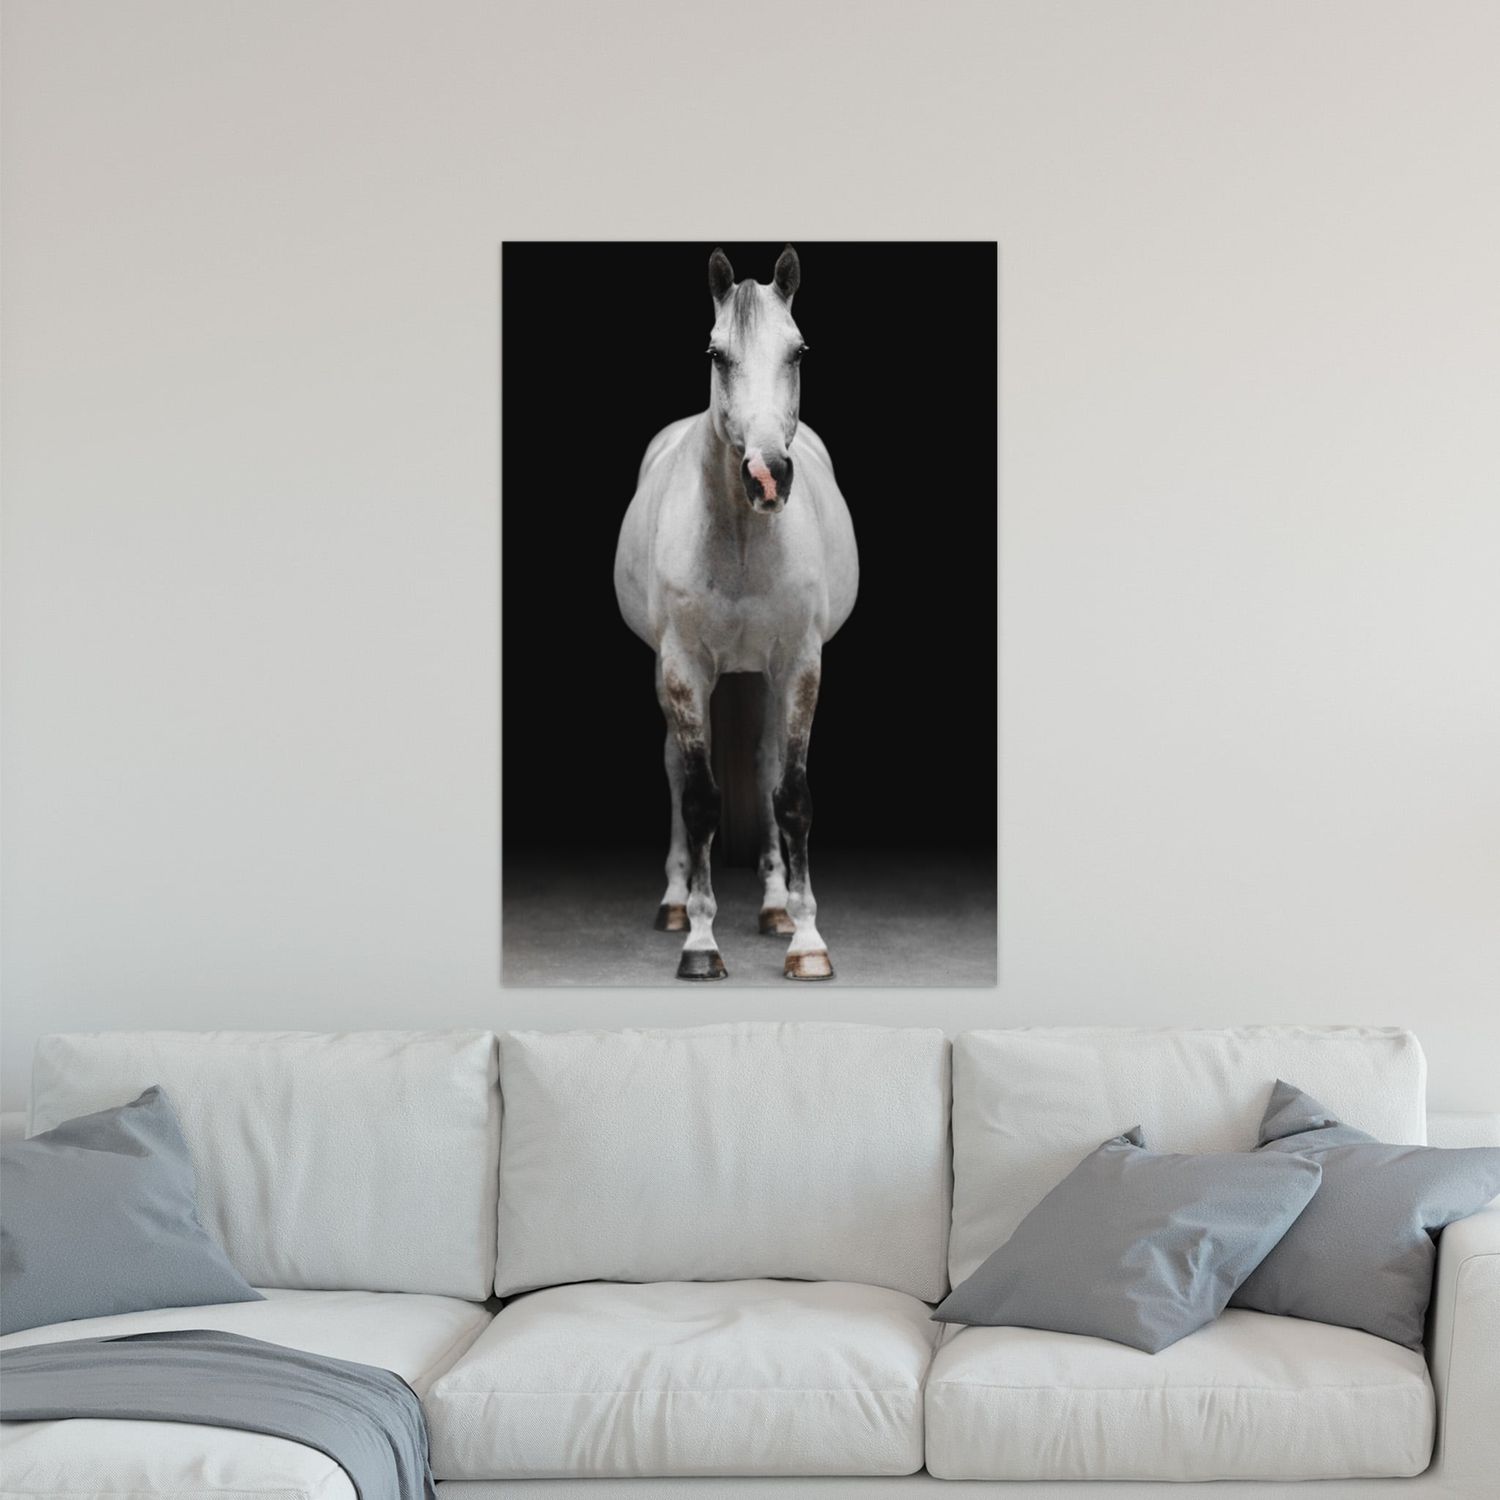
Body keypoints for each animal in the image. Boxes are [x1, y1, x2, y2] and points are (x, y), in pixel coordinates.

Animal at [613, 245, 859, 981]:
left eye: (798, 349)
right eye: (716, 353)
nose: (768, 475)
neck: (743, 541)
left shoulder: (799, 664)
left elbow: (792, 794)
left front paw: (807, 941)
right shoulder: (683, 669)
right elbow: (698, 798)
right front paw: (699, 940)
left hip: (763, 676)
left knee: (767, 762)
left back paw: (776, 906)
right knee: (673, 768)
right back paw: (673, 902)